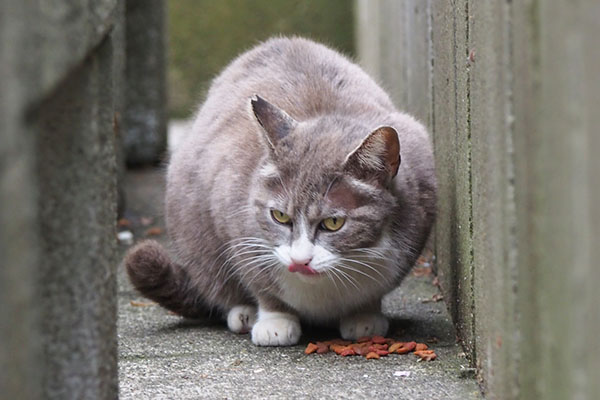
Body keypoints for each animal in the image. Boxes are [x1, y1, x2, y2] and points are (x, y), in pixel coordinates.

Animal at [126, 36, 436, 346]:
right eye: (280, 216)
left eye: (334, 222)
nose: (300, 260)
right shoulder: (236, 222)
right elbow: (262, 283)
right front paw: (275, 321)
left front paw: (364, 316)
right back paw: (243, 312)